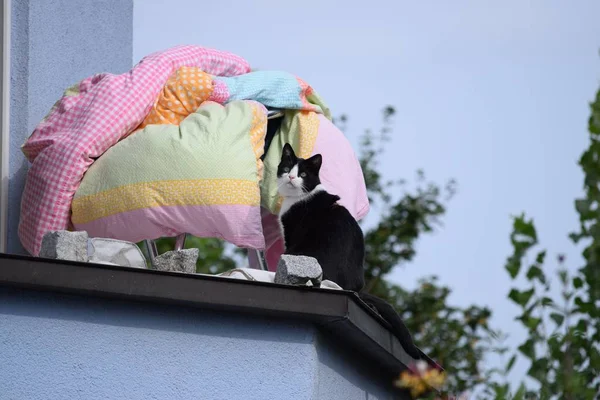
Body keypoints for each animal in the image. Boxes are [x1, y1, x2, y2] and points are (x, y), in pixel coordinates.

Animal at [276, 144, 420, 360]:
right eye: (286, 169)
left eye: (303, 174)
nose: (291, 177)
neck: (299, 199)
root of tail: (353, 289)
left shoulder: (292, 235)